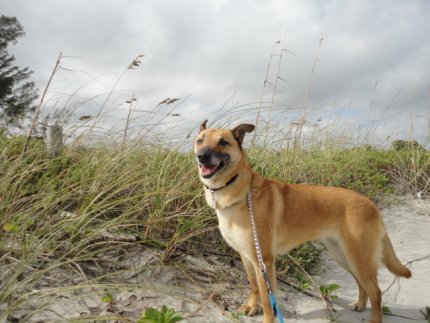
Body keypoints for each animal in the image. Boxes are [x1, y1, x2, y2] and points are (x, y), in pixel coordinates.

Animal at [194, 121, 410, 323]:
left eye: (223, 142)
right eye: (200, 141)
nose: (202, 156)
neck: (238, 191)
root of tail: (371, 203)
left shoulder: (263, 261)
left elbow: (267, 299)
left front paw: (266, 317)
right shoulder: (246, 257)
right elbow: (254, 286)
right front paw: (252, 306)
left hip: (359, 259)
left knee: (376, 291)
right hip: (344, 256)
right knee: (362, 283)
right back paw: (360, 304)